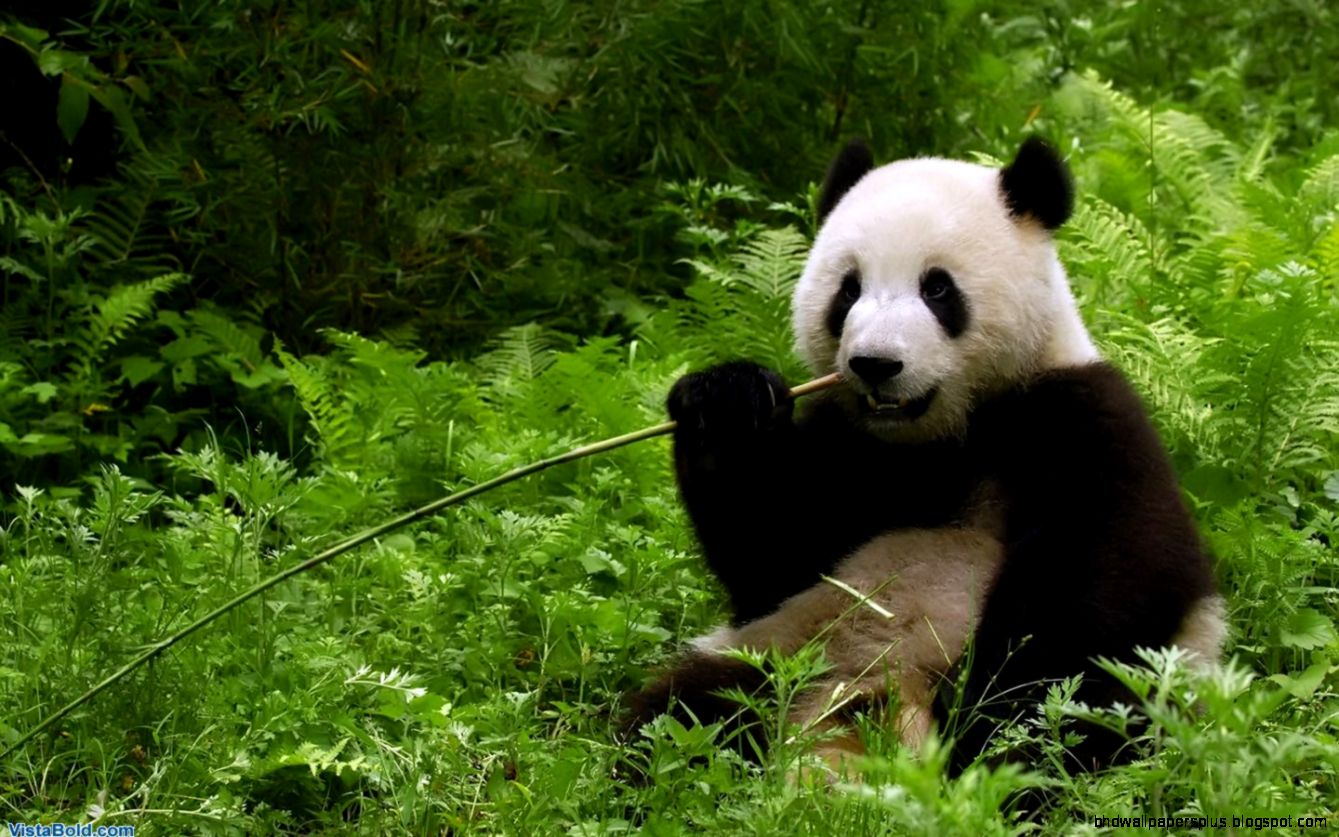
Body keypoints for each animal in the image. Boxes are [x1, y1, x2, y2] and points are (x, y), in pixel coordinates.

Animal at [622, 137, 1225, 778]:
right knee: (683, 714)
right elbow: (773, 557)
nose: (875, 364)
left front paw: (985, 712)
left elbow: (1103, 581)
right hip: (782, 650)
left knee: (1086, 722)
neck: (941, 435)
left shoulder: (1079, 417)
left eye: (937, 289)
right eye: (848, 290)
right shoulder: (849, 448)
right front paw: (727, 403)